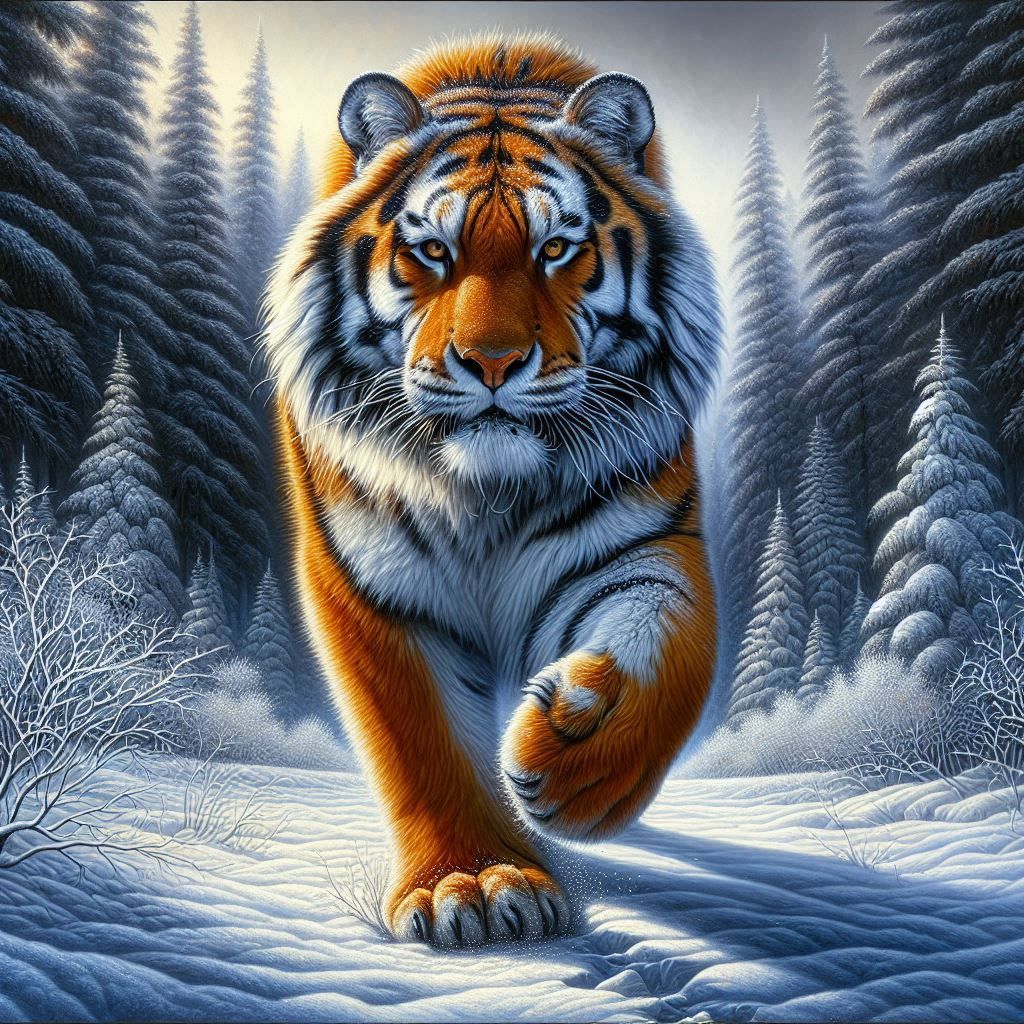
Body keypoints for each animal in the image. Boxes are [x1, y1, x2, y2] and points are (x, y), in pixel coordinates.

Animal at [263, 34, 721, 948]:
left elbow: (673, 651)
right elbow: (423, 739)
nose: (494, 361)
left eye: (556, 250)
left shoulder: (647, 537)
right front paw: (471, 884)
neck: (487, 495)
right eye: (434, 251)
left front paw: (577, 756)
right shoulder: (371, 579)